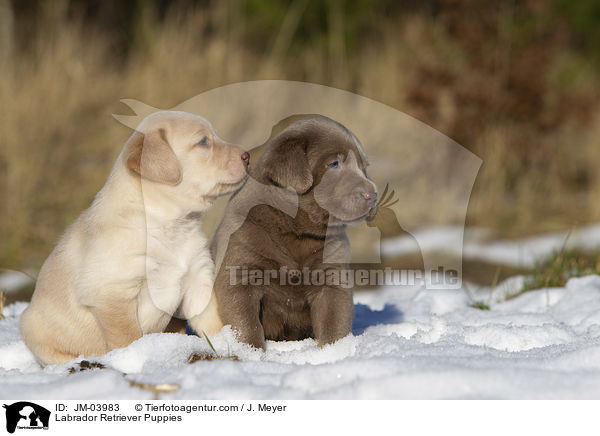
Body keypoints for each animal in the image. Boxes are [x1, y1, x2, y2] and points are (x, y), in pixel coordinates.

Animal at [19, 110, 247, 364]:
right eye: (203, 142)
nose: (247, 155)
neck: (168, 223)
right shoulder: (113, 293)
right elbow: (127, 336)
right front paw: (133, 358)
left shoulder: (197, 278)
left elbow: (212, 321)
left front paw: (231, 346)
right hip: (31, 326)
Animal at [213, 116, 378, 350]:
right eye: (334, 164)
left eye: (364, 167)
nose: (373, 195)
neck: (295, 230)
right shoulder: (241, 265)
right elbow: (245, 321)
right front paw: (251, 351)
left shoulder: (331, 275)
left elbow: (334, 317)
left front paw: (334, 350)